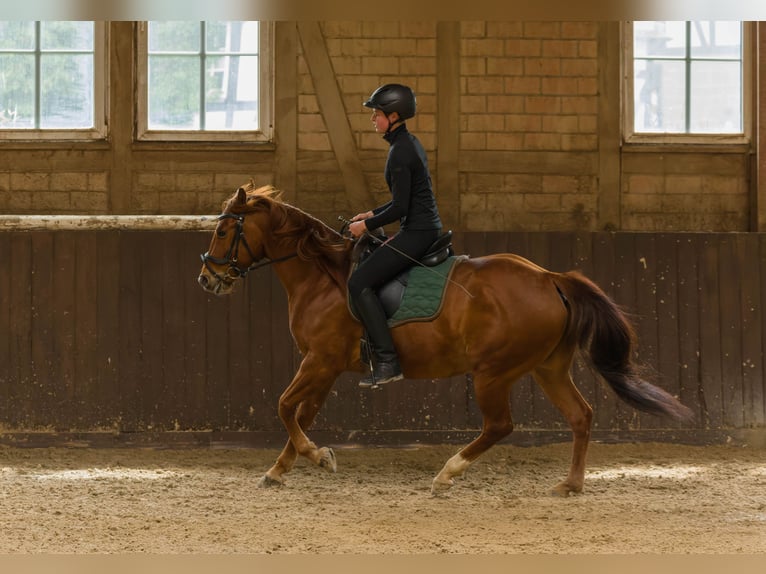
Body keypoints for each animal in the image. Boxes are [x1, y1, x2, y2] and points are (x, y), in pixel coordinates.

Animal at [198, 182, 696, 498]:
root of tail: (549, 277)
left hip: (494, 372)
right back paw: (570, 485)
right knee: (581, 415)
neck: (322, 276)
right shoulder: (326, 365)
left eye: (223, 231)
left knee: (500, 426)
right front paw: (281, 470)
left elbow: (285, 407)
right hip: (547, 367)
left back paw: (446, 475)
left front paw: (317, 458)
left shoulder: (320, 360)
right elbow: (302, 413)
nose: (207, 279)